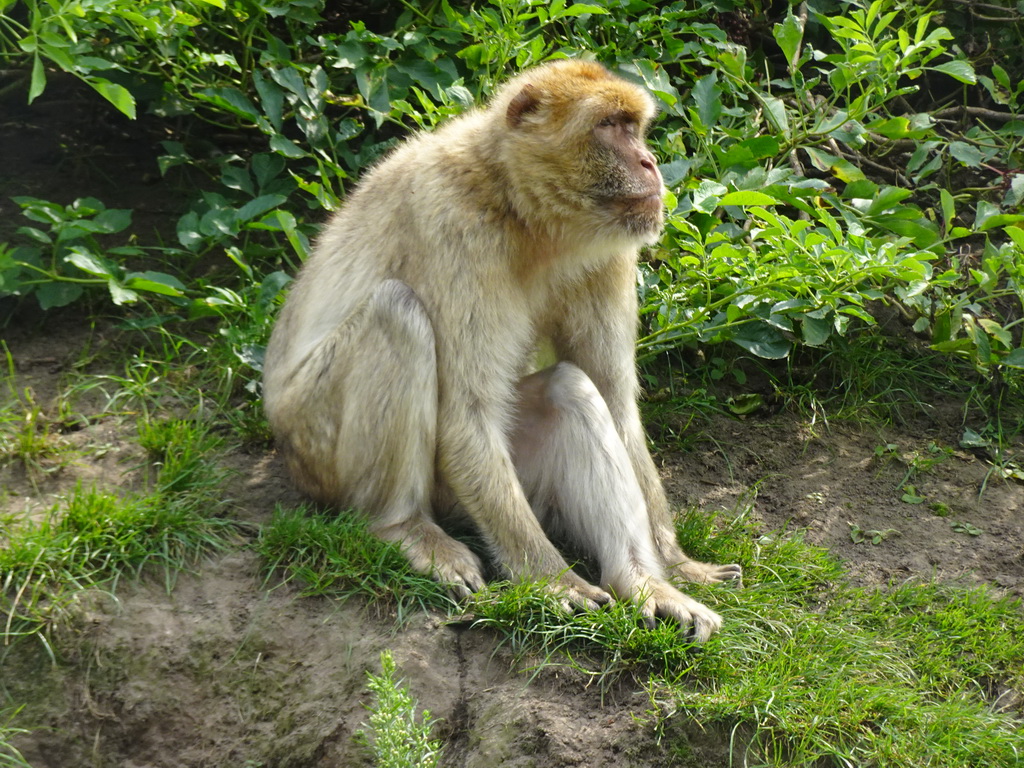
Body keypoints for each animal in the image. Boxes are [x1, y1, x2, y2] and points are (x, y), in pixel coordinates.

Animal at [262, 58, 745, 643]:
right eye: (609, 126)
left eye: (635, 126)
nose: (650, 163)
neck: (519, 206)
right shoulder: (455, 229)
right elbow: (465, 416)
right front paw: (554, 581)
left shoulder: (610, 252)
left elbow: (614, 402)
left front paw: (676, 566)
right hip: (317, 444)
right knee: (398, 313)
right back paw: (402, 526)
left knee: (570, 388)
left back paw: (642, 583)